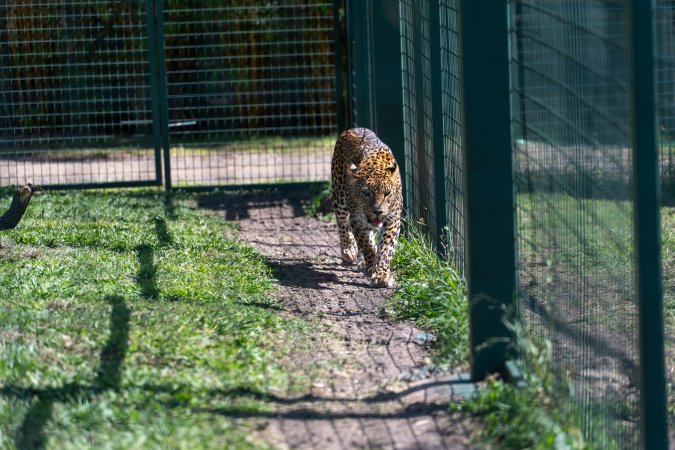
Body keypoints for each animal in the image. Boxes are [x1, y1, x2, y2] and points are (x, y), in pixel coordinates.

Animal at [331, 127, 403, 288]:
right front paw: (371, 267)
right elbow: (366, 245)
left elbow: (385, 249)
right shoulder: (358, 219)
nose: (378, 212)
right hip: (339, 198)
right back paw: (348, 250)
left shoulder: (393, 219)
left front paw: (381, 275)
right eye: (366, 193)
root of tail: (351, 129)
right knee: (342, 223)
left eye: (387, 193)